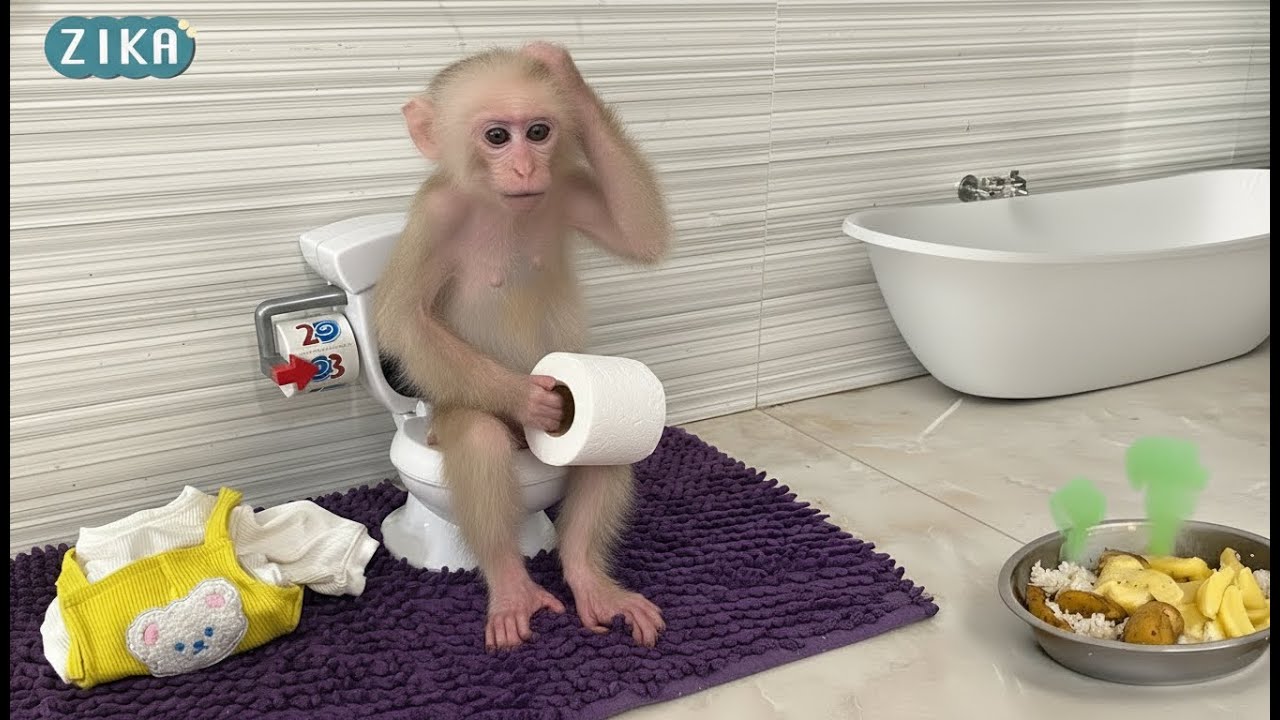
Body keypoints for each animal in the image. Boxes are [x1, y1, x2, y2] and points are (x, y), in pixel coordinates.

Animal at [373, 43, 673, 652]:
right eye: (496, 137)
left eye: (538, 131)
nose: (525, 167)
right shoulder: (434, 212)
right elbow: (404, 321)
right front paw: (532, 399)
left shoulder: (570, 185)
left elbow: (641, 233)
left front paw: (565, 73)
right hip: (455, 415)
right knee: (479, 438)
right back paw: (511, 585)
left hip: (608, 420)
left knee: (607, 454)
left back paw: (587, 577)